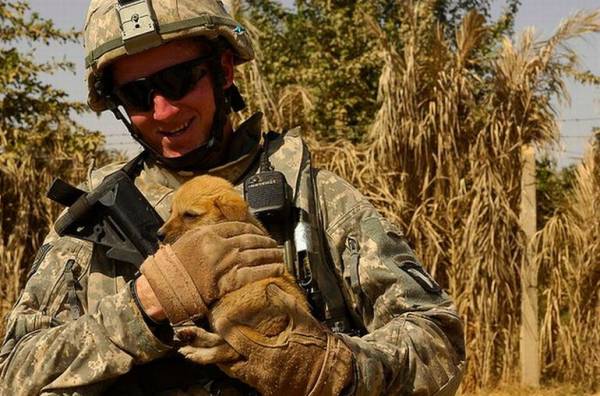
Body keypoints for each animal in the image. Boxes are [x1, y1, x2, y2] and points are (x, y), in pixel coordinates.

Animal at [158, 176, 310, 366]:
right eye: (171, 212)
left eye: (190, 215)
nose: (158, 234)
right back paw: (193, 336)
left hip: (227, 310)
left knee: (232, 350)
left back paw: (199, 353)